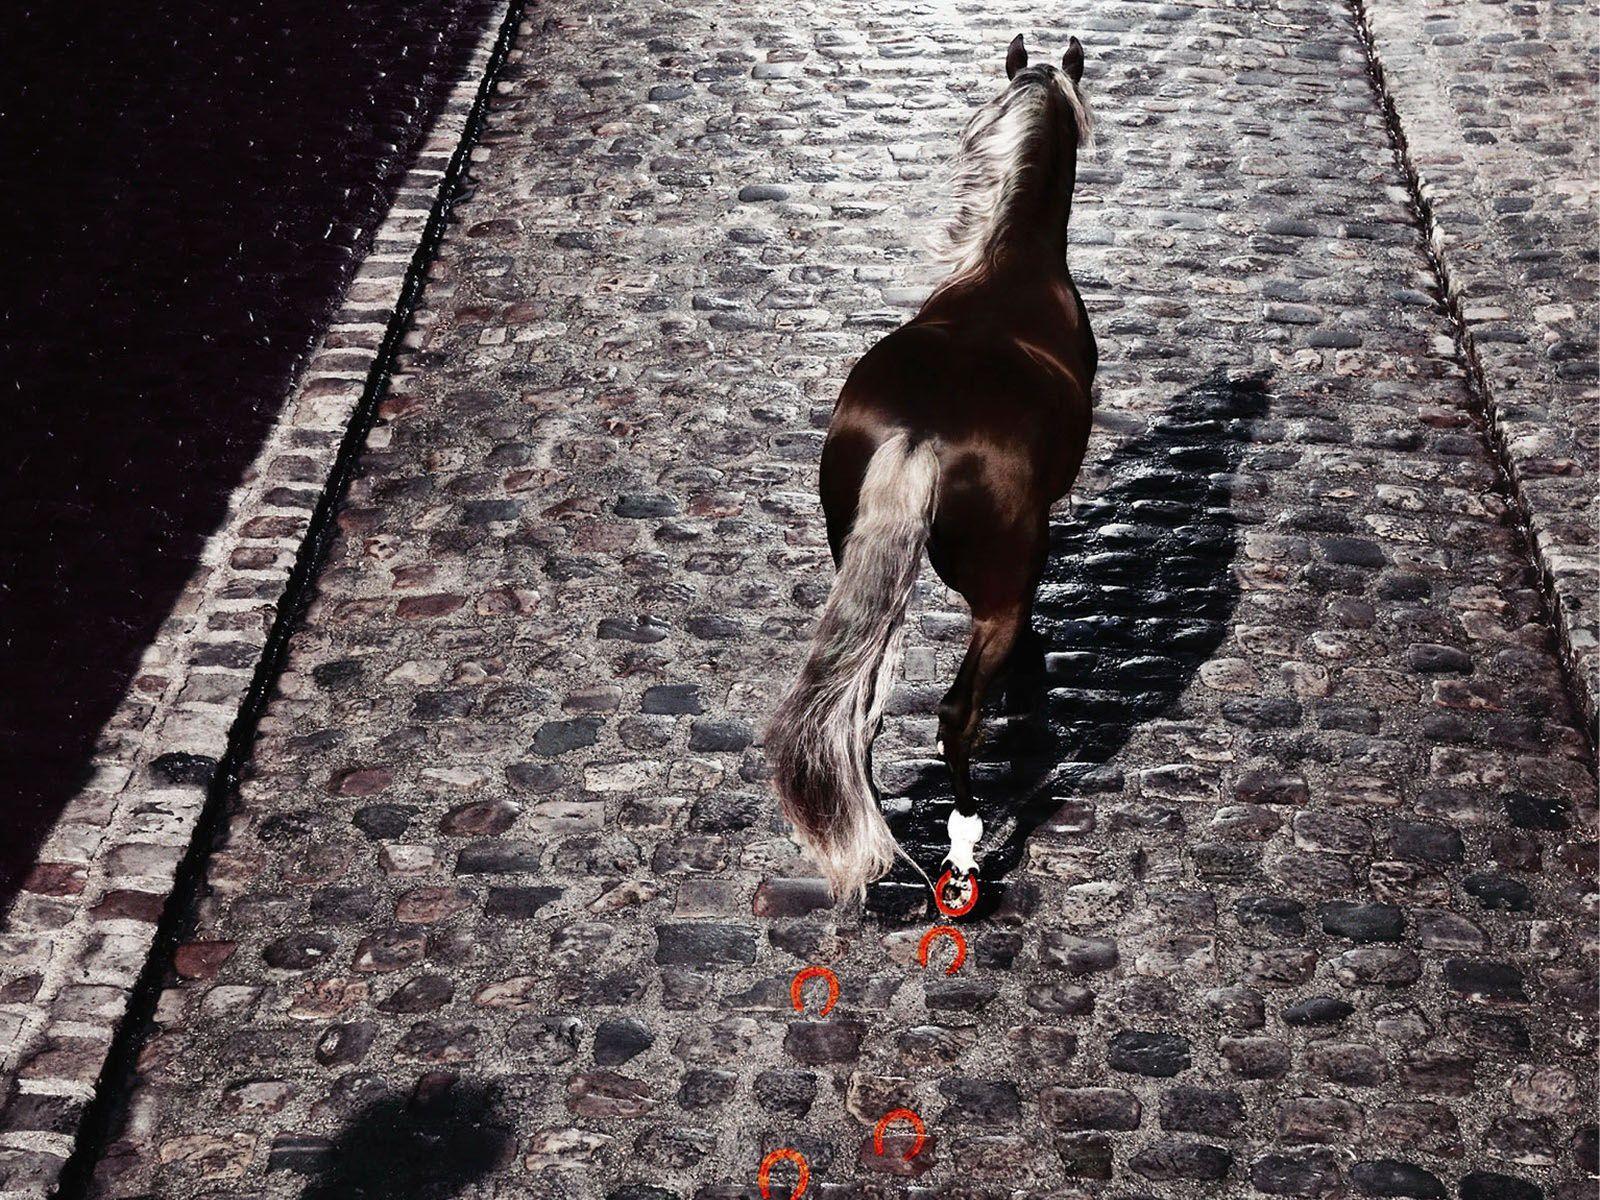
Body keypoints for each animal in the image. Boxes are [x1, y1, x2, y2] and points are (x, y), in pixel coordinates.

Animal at [766, 34, 1098, 908]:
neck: (1010, 260)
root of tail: (921, 431)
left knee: (859, 715)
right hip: (995, 593)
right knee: (956, 715)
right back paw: (966, 847)